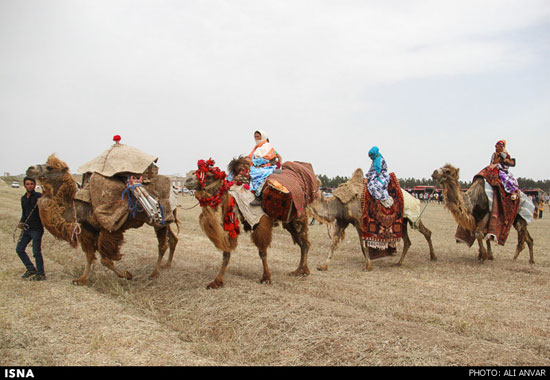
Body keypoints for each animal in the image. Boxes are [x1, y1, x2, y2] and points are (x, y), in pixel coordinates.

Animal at [27, 153, 180, 284]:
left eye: (50, 167)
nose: (30, 169)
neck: (81, 206)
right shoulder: (88, 229)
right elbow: (89, 256)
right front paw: (81, 279)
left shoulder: (110, 228)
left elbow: (105, 260)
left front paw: (127, 275)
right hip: (162, 220)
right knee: (172, 239)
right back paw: (166, 265)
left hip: (158, 220)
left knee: (162, 245)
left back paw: (154, 273)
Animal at [183, 157, 316, 288]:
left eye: (209, 176)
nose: (187, 179)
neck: (235, 201)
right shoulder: (229, 226)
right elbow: (226, 253)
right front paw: (217, 282)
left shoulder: (261, 223)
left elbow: (262, 252)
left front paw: (266, 278)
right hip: (289, 223)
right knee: (302, 244)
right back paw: (299, 271)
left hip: (299, 218)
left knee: (305, 243)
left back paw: (303, 271)